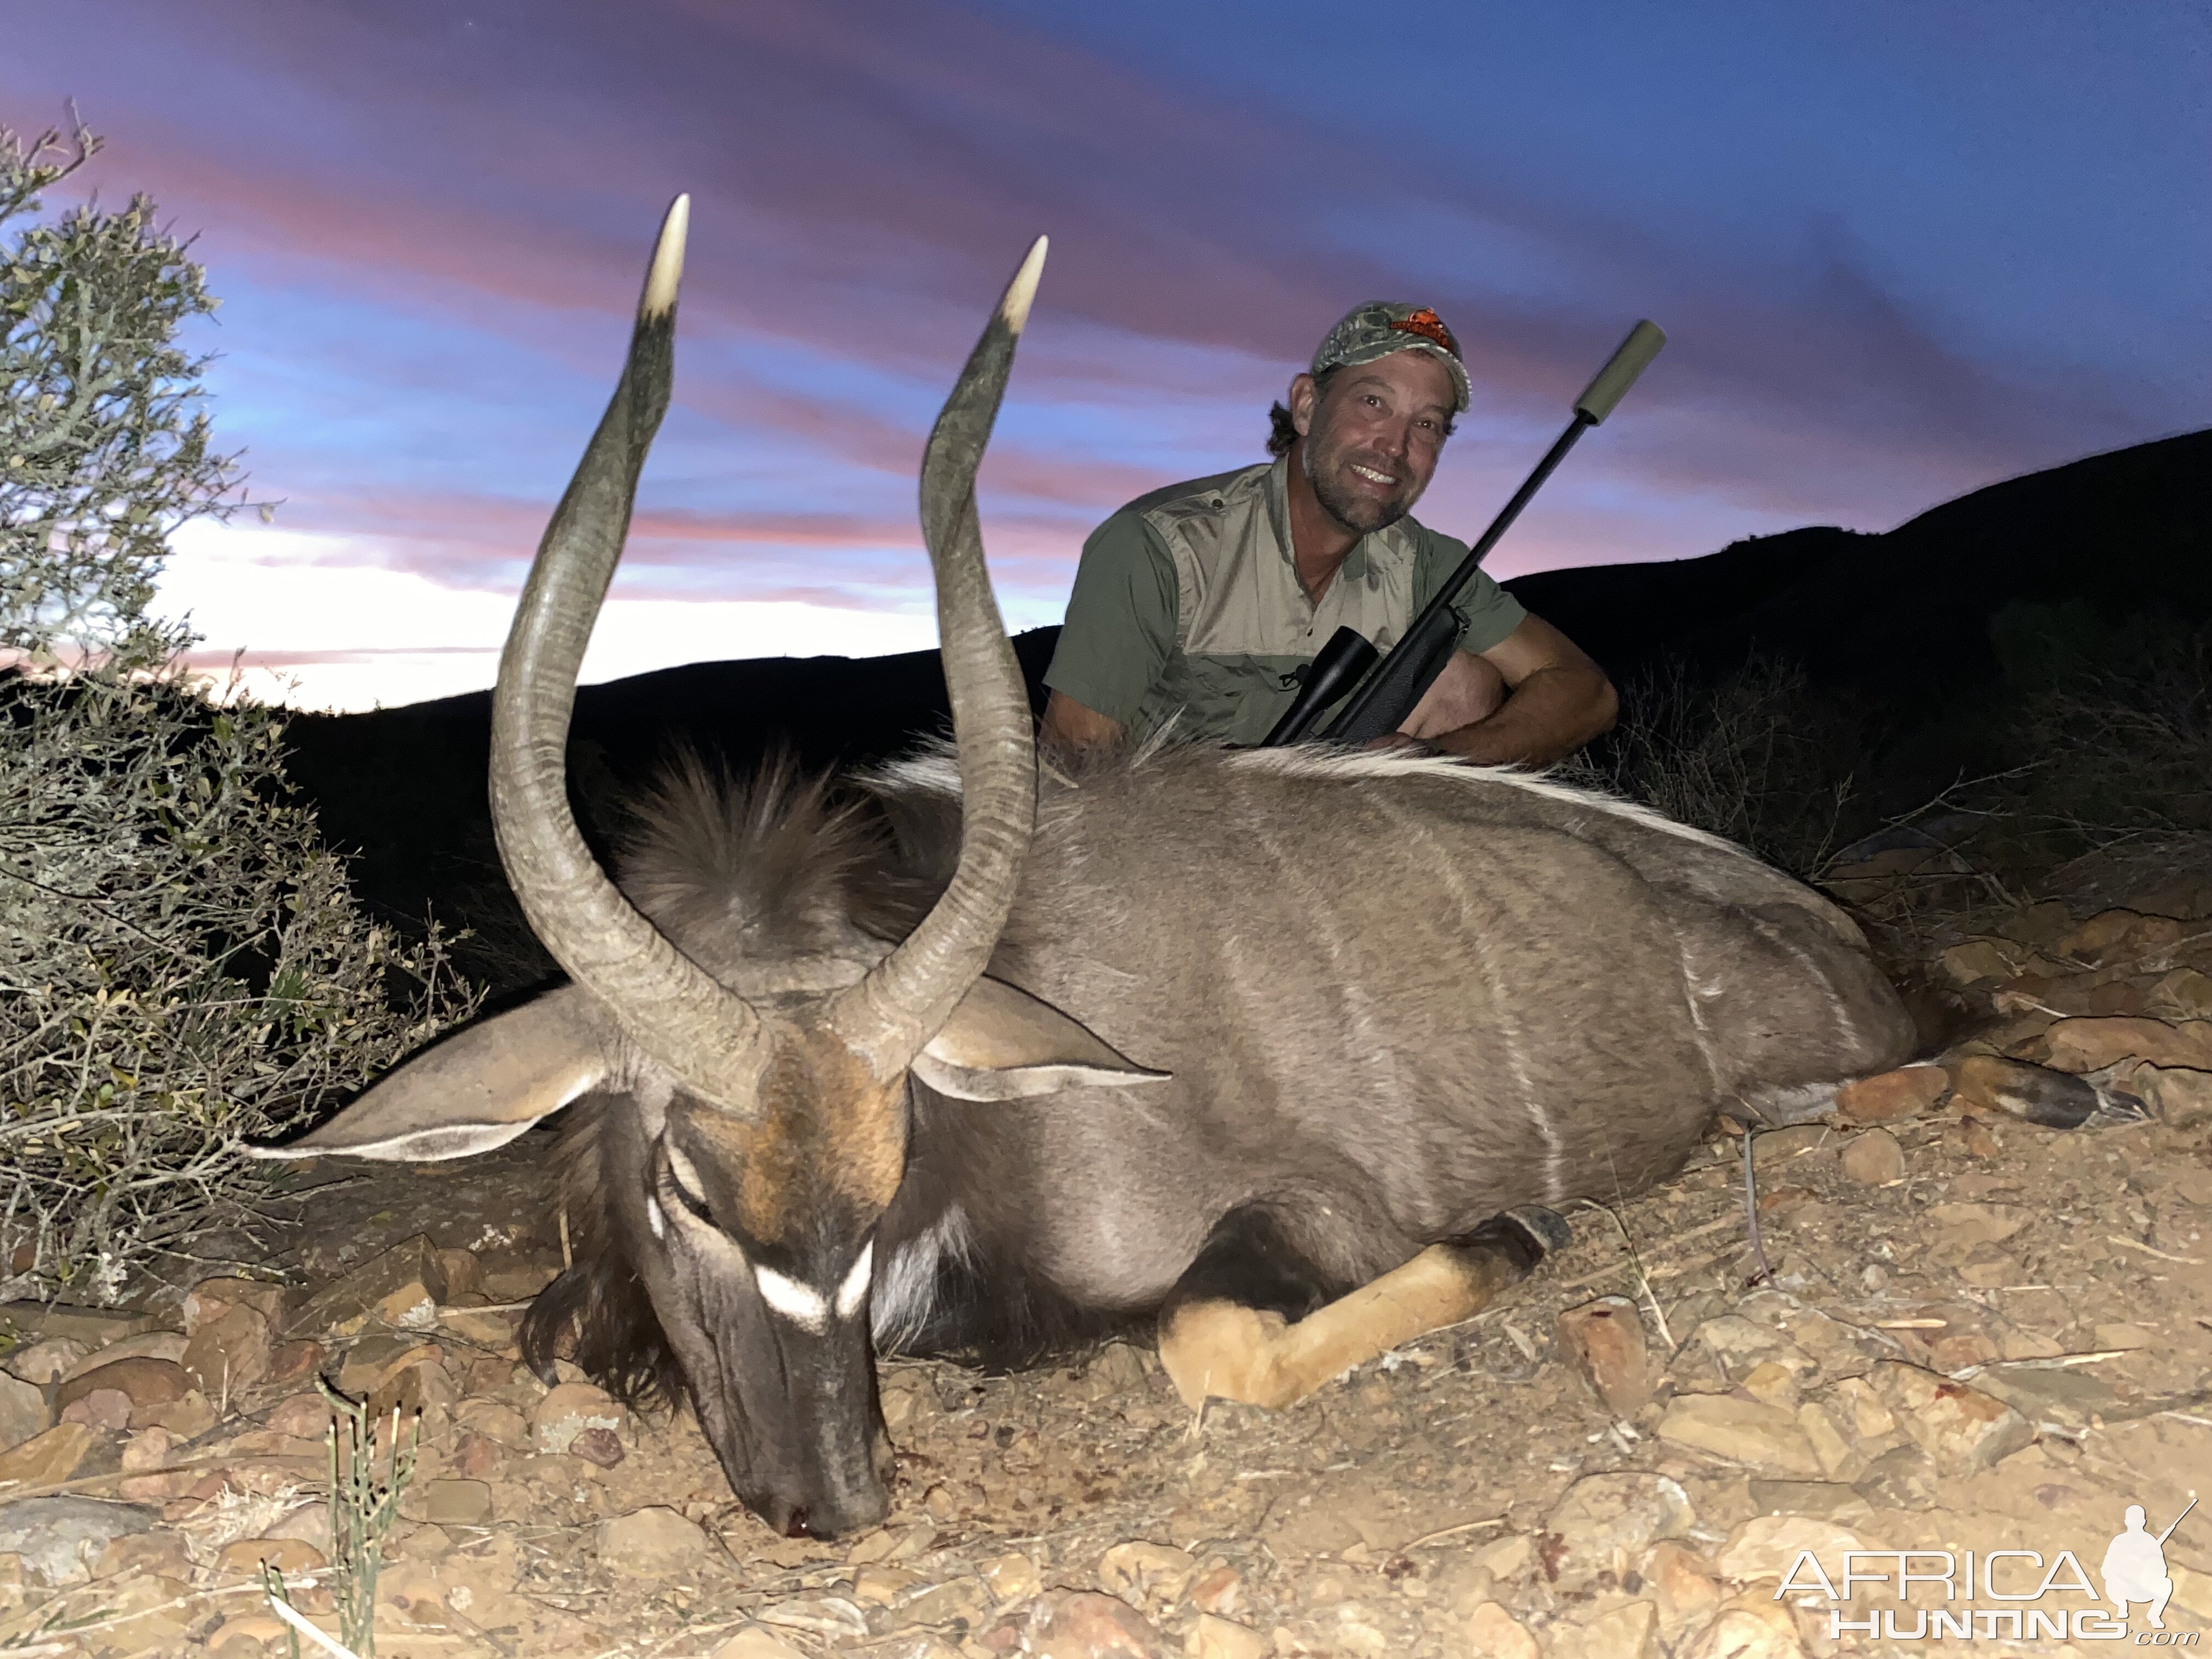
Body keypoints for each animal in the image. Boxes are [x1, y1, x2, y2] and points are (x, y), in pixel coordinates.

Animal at [263, 211, 1920, 1548]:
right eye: (685, 1187)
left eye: (891, 1172)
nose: (836, 1504)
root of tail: (1833, 937)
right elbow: (542, 1329)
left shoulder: (1306, 1208)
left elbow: (1208, 1340)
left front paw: (1520, 1231)